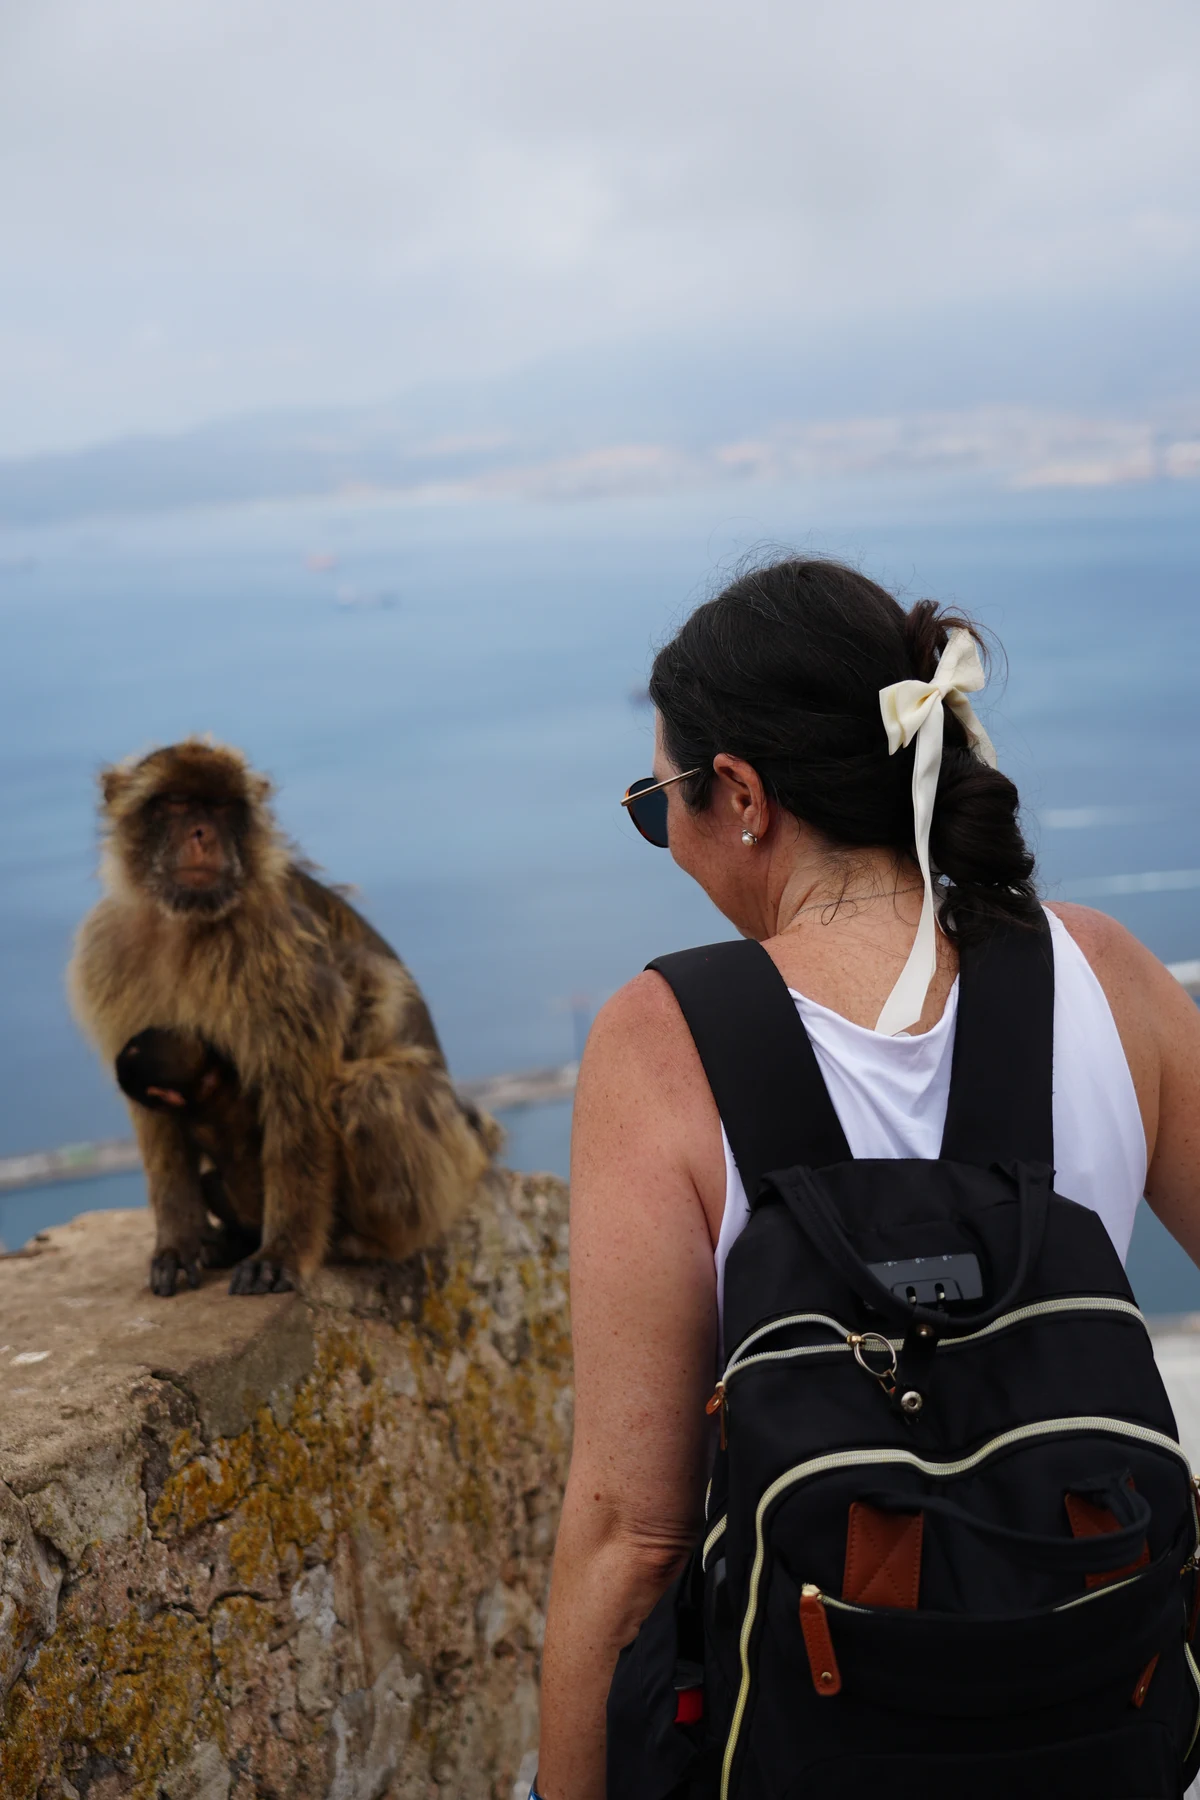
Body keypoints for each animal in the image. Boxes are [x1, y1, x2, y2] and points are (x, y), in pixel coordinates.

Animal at [68, 738, 502, 1297]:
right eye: (177, 803)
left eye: (222, 807)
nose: (203, 833)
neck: (184, 925)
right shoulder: (107, 954)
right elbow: (155, 1120)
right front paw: (178, 1243)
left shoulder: (281, 955)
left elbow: (296, 1097)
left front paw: (282, 1252)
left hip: (442, 1170)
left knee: (371, 1092)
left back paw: (357, 1243)